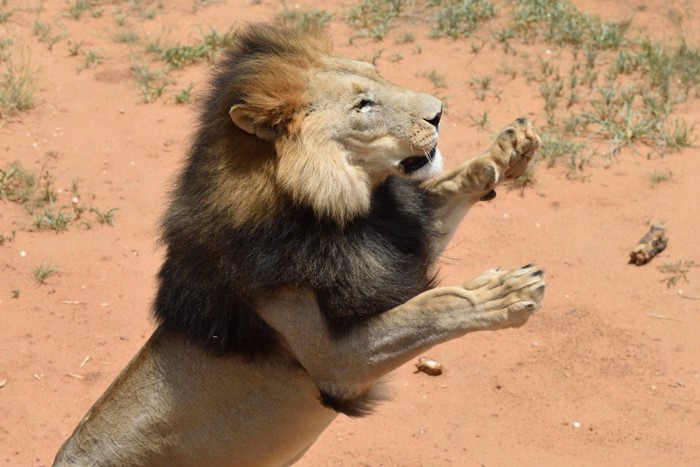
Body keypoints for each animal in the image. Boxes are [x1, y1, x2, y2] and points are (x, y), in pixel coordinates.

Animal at [56, 22, 548, 467]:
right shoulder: (334, 361)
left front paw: (505, 152)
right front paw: (503, 295)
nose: (439, 113)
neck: (351, 210)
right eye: (363, 105)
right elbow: (432, 306)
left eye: (377, 74)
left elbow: (444, 190)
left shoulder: (398, 241)